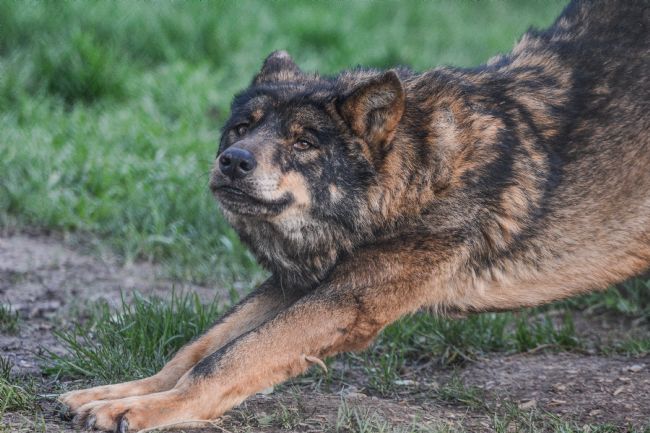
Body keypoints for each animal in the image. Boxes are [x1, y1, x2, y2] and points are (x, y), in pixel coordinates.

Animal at [60, 0, 649, 430]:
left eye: (303, 142)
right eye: (241, 129)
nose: (233, 161)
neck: (420, 172)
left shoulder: (346, 300)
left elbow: (229, 358)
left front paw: (142, 411)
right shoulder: (299, 283)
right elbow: (197, 349)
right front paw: (119, 393)